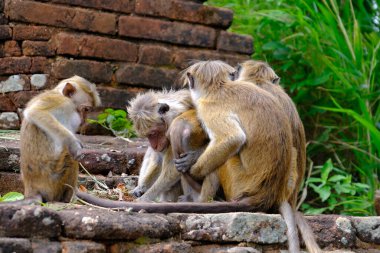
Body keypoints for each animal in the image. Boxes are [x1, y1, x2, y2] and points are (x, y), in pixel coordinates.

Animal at [19, 75, 100, 204]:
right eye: (86, 109)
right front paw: (73, 143)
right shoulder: (59, 101)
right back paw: (67, 200)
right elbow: (35, 112)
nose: (84, 121)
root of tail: (32, 190)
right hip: (52, 180)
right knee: (71, 159)